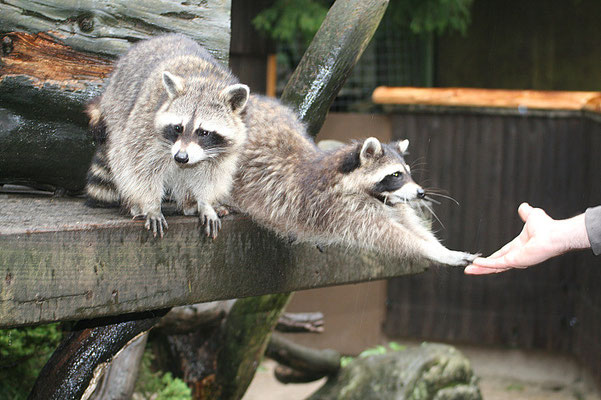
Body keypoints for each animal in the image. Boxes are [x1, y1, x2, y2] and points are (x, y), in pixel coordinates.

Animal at [83, 34, 247, 238]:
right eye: (178, 127)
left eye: (203, 132)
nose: (181, 157)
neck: (204, 80)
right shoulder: (145, 126)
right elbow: (139, 166)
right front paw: (151, 205)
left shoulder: (222, 151)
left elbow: (212, 175)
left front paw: (205, 202)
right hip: (117, 109)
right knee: (121, 158)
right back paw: (136, 204)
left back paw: (188, 202)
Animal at [232, 95, 476, 268]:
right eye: (396, 174)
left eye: (408, 172)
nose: (421, 193)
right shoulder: (339, 208)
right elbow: (390, 235)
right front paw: (430, 250)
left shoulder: (391, 202)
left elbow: (413, 226)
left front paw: (442, 249)